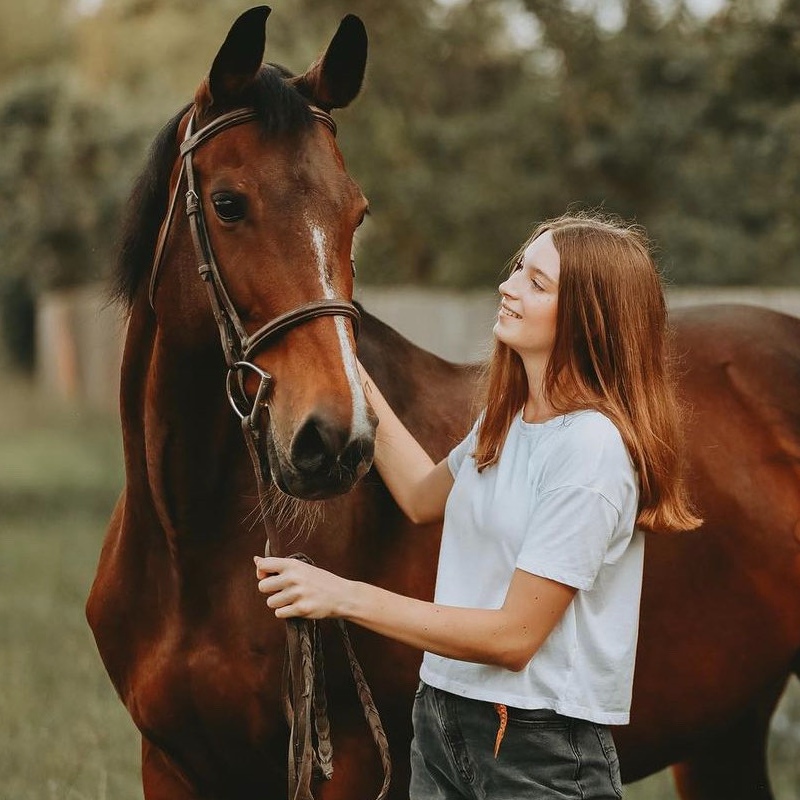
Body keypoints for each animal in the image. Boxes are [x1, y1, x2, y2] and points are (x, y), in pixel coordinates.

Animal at [86, 6, 800, 800]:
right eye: (228, 203)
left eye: (357, 213)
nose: (335, 441)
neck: (191, 552)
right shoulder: (169, 763)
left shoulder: (358, 763)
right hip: (723, 734)